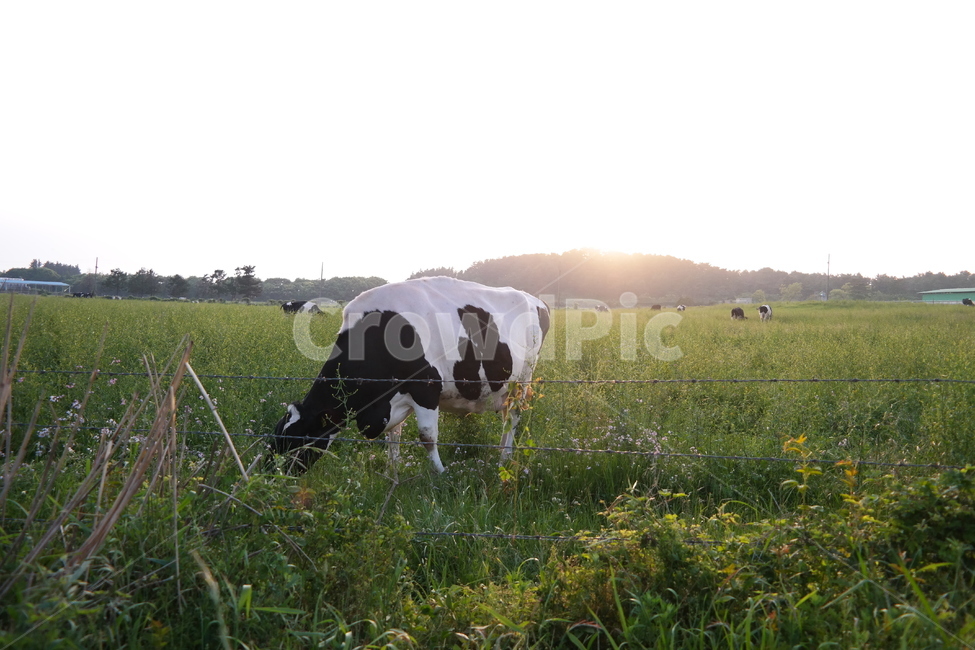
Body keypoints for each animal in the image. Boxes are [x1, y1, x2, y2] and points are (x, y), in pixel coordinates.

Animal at [271, 276, 550, 474]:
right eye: (277, 438)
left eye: (297, 441)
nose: (273, 476)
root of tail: (534, 299)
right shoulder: (393, 397)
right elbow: (393, 436)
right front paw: (392, 470)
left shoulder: (426, 388)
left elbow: (427, 437)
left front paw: (440, 473)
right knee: (506, 418)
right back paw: (502, 452)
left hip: (523, 379)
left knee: (513, 417)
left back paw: (505, 458)